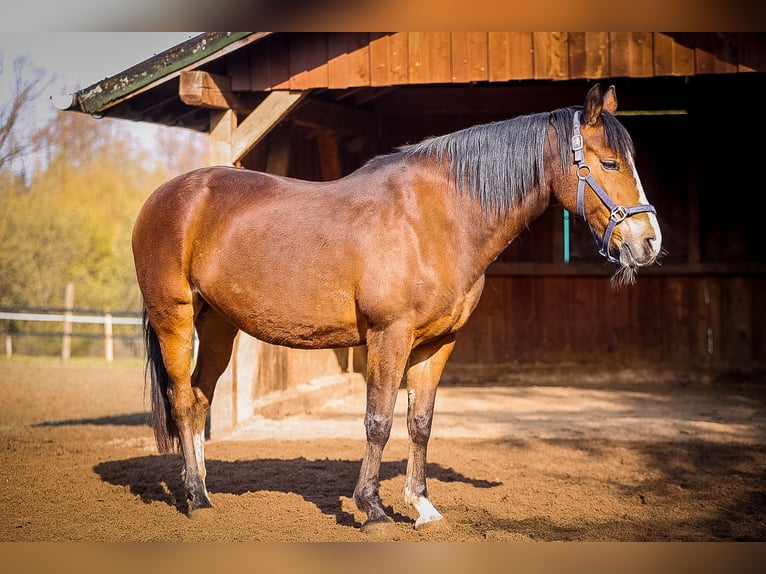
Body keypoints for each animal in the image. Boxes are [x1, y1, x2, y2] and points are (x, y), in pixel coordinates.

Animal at [132, 83, 662, 534]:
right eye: (609, 163)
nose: (649, 242)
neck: (435, 220)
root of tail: (166, 196)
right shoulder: (390, 335)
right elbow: (379, 421)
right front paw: (372, 508)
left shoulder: (437, 342)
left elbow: (420, 423)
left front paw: (422, 506)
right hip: (174, 317)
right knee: (182, 400)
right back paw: (197, 498)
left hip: (218, 325)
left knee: (200, 397)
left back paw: (201, 488)